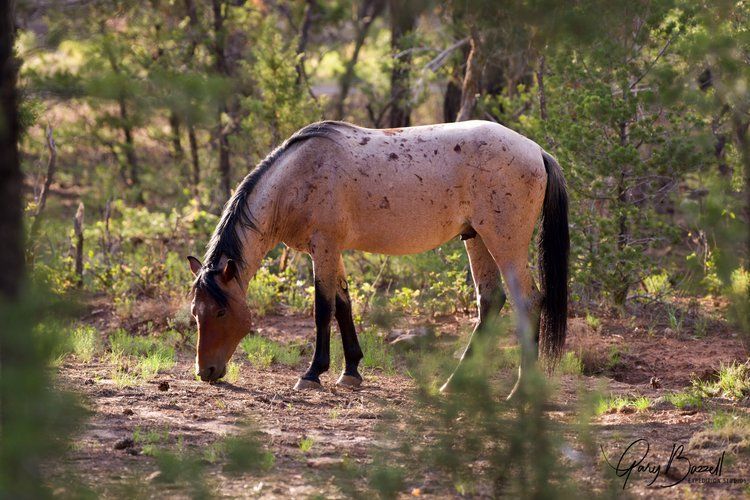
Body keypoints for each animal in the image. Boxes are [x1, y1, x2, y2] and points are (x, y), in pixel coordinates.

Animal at [188, 120, 569, 395]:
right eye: (195, 312)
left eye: (221, 311)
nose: (206, 372)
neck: (297, 178)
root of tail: (537, 151)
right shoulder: (332, 251)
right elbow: (343, 305)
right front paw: (350, 371)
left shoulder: (324, 248)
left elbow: (323, 308)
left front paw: (312, 374)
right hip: (475, 239)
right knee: (490, 302)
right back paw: (454, 383)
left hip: (505, 243)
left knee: (528, 301)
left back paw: (521, 390)